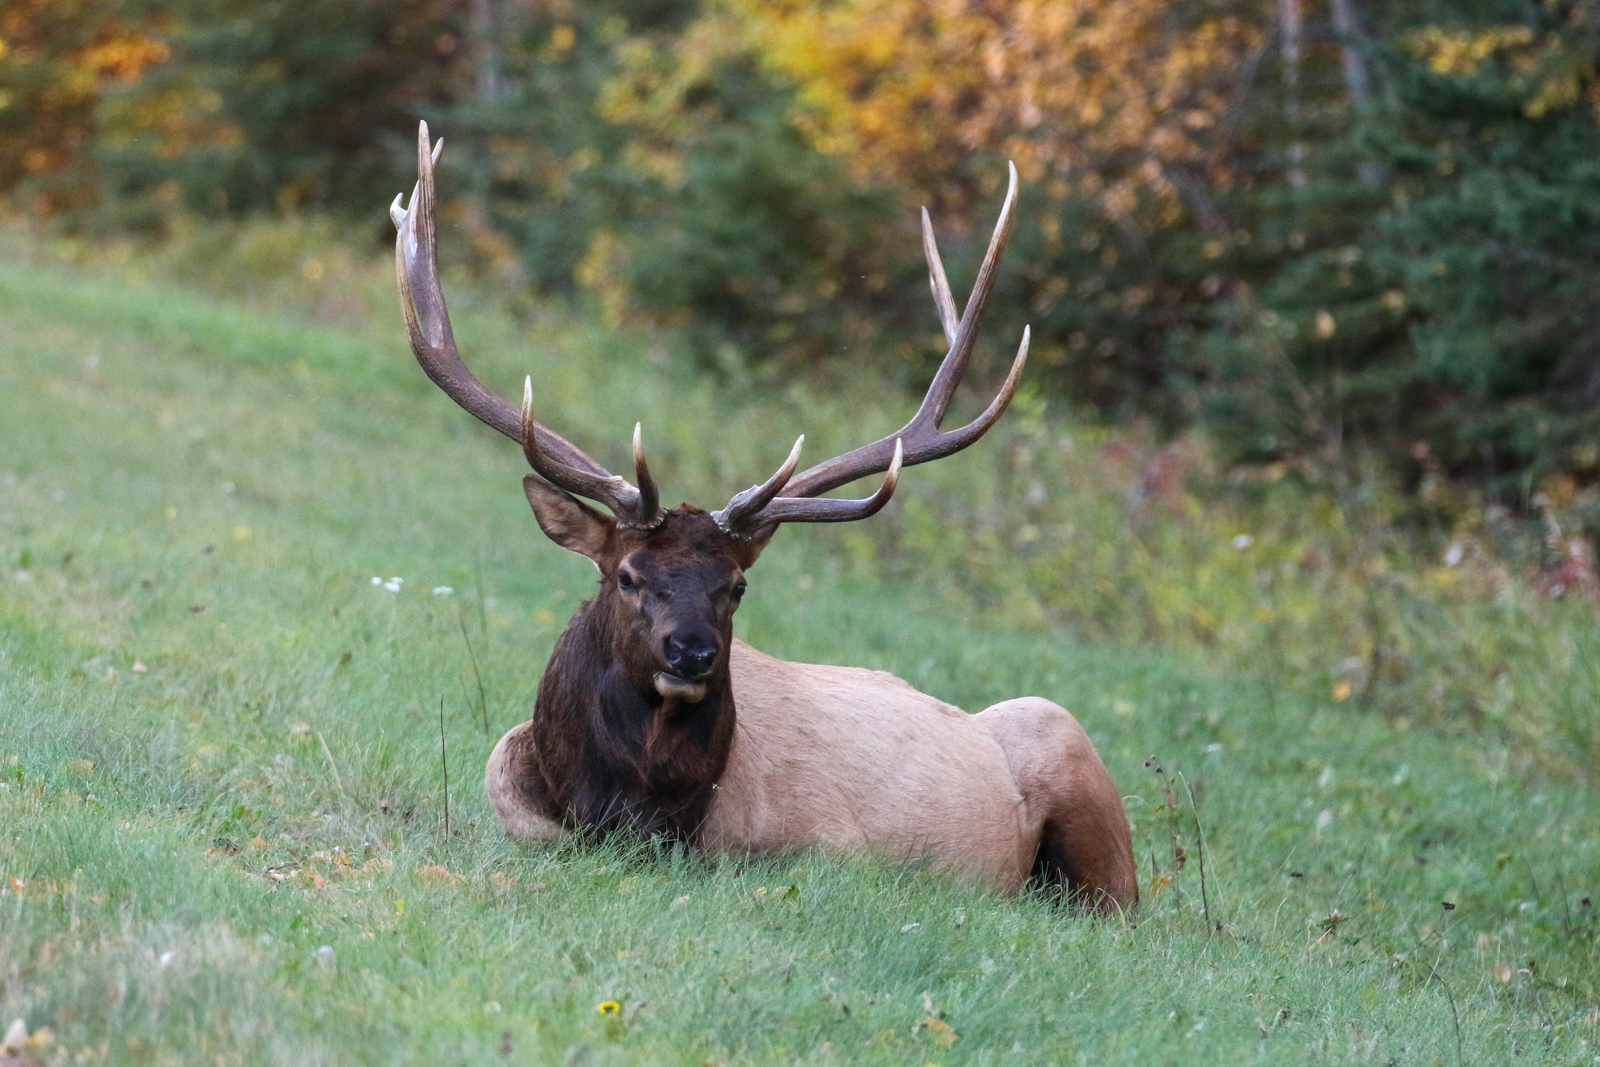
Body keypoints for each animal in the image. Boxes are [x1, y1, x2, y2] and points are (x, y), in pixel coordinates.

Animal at [389, 123, 1137, 912]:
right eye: (626, 574)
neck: (638, 813)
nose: (691, 651)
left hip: (1073, 760)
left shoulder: (832, 847)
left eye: (737, 587)